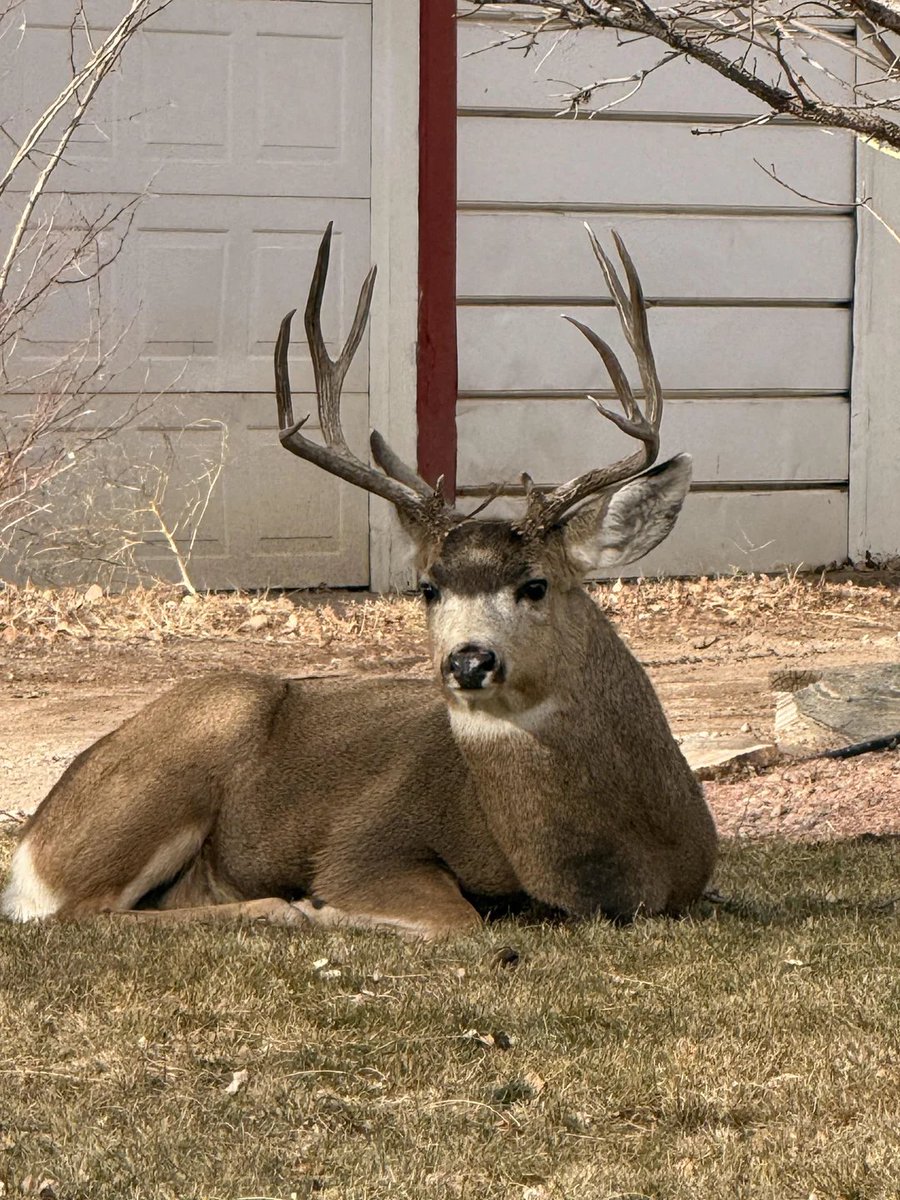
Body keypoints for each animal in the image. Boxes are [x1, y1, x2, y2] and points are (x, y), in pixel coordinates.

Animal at [1, 223, 718, 939]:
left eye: (536, 584)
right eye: (429, 588)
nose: (469, 660)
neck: (608, 867)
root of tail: (33, 844)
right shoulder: (364, 842)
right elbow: (455, 918)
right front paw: (323, 906)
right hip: (203, 729)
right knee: (77, 912)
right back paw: (276, 906)